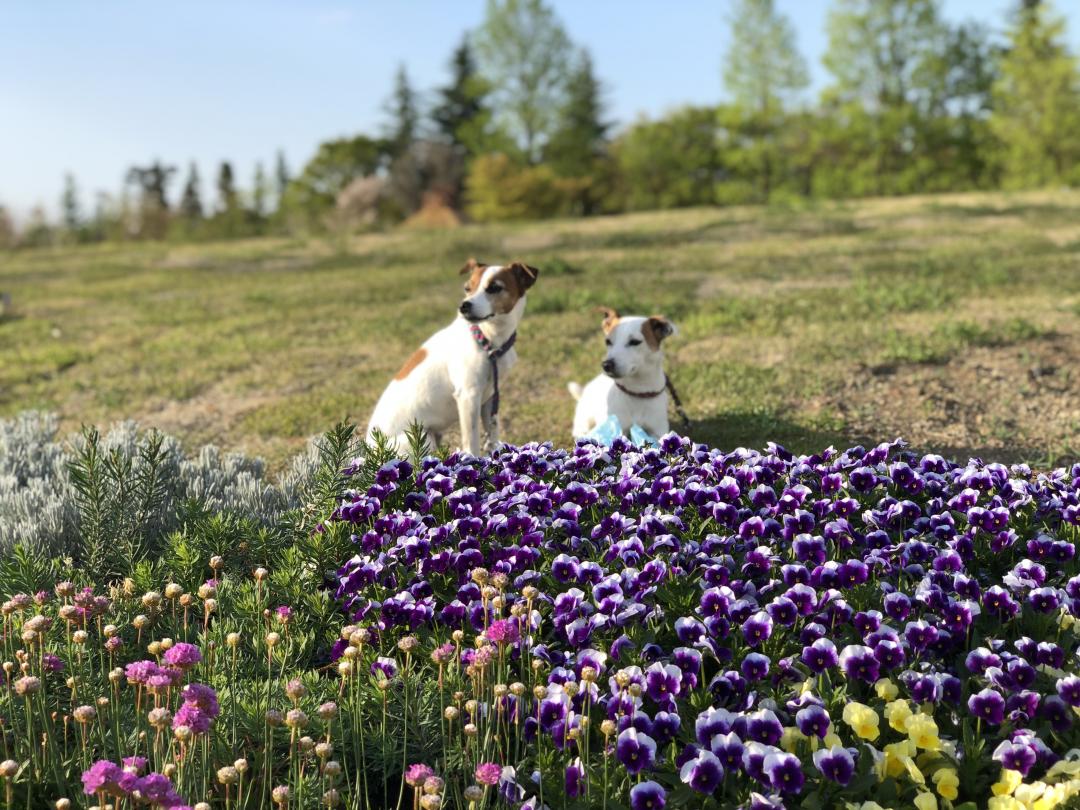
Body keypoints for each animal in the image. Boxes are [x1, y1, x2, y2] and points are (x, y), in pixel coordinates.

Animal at [369, 263, 537, 460]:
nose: (464, 306)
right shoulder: (468, 396)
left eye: (495, 287)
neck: (487, 340)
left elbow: (493, 434)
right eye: (467, 288)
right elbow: (472, 441)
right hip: (422, 439)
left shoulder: (490, 397)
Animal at [565, 306, 673, 444]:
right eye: (608, 341)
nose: (606, 364)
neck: (637, 392)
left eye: (635, 342)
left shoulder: (658, 431)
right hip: (585, 418)